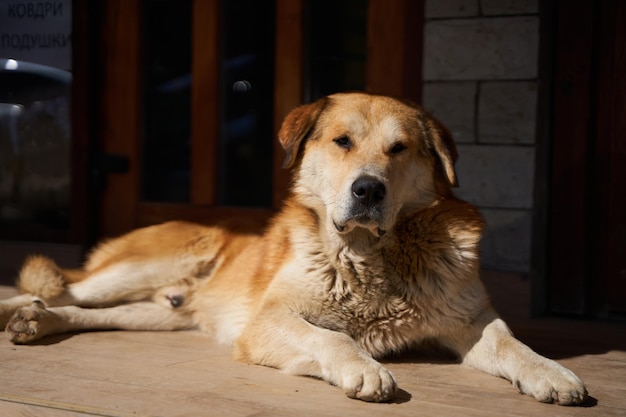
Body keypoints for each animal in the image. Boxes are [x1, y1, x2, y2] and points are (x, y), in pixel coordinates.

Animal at [0, 92, 584, 404]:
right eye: (342, 141)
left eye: (399, 149)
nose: (369, 190)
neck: (369, 258)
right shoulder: (269, 321)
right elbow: (330, 338)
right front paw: (363, 368)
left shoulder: (470, 322)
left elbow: (511, 344)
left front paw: (551, 373)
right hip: (148, 266)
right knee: (54, 289)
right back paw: (22, 312)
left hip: (161, 313)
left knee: (77, 309)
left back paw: (38, 322)